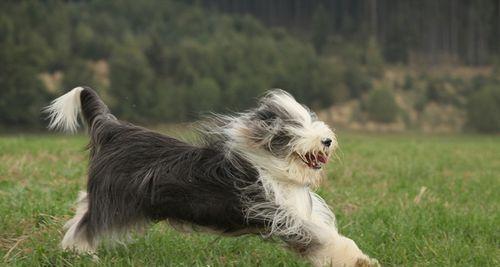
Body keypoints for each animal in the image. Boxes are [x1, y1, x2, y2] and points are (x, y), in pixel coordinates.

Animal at [44, 88, 378, 267]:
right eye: (292, 128)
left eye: (309, 120)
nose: (326, 140)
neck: (272, 167)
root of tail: (113, 129)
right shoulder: (277, 213)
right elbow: (323, 237)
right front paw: (359, 260)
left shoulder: (295, 211)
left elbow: (326, 236)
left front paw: (361, 259)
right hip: (113, 198)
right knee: (87, 224)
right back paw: (79, 252)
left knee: (82, 207)